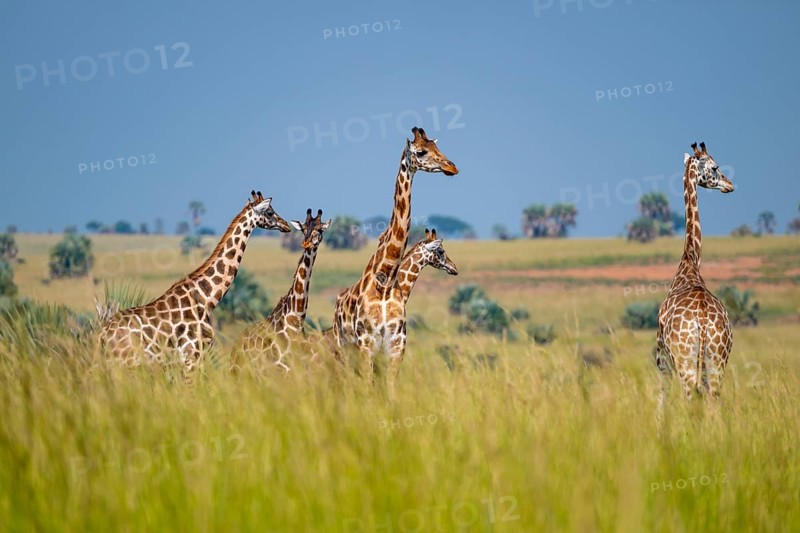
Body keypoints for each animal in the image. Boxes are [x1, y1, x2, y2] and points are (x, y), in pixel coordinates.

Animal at [97, 191, 291, 376]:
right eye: (270, 212)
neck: (206, 297)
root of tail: (102, 334)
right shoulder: (192, 355)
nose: (286, 226)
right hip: (125, 362)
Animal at [332, 127, 458, 375]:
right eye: (421, 152)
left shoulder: (396, 348)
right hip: (345, 351)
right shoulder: (367, 346)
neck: (387, 279)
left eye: (437, 146)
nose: (452, 167)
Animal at [655, 142, 735, 406]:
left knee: (692, 399)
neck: (690, 262)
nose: (730, 184)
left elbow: (661, 400)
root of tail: (701, 320)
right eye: (715, 166)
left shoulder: (662, 360)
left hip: (686, 363)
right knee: (711, 401)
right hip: (716, 361)